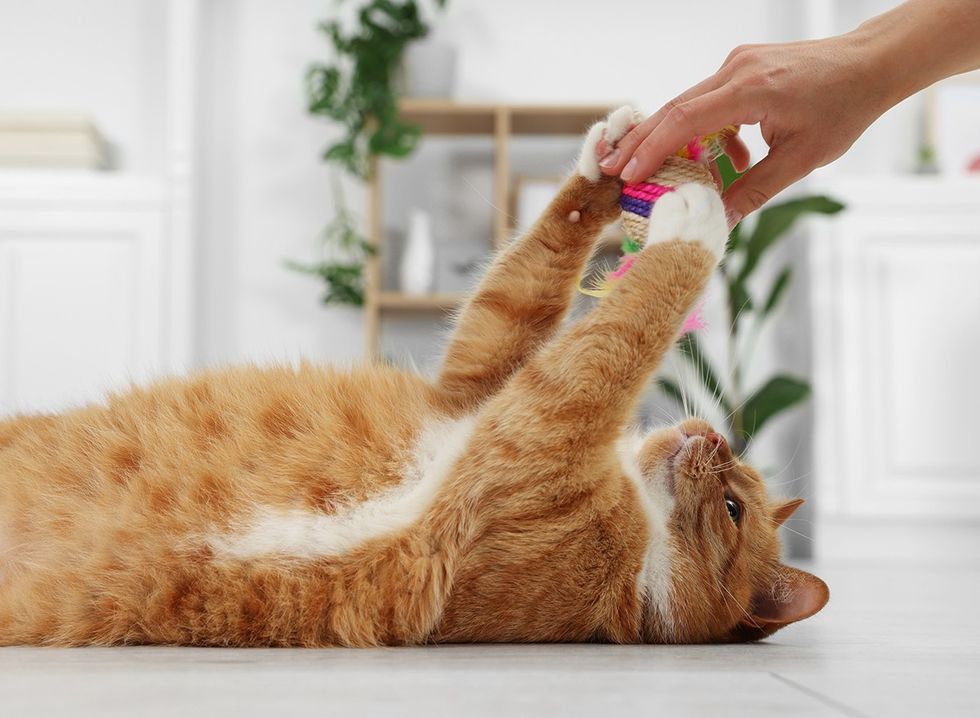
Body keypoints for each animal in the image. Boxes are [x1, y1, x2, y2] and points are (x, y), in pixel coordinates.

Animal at [0, 108, 828, 652]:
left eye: (731, 507)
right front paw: (607, 156)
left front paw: (701, 214)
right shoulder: (472, 385)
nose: (711, 434)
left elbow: (630, 324)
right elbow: (525, 285)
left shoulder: (536, 427)